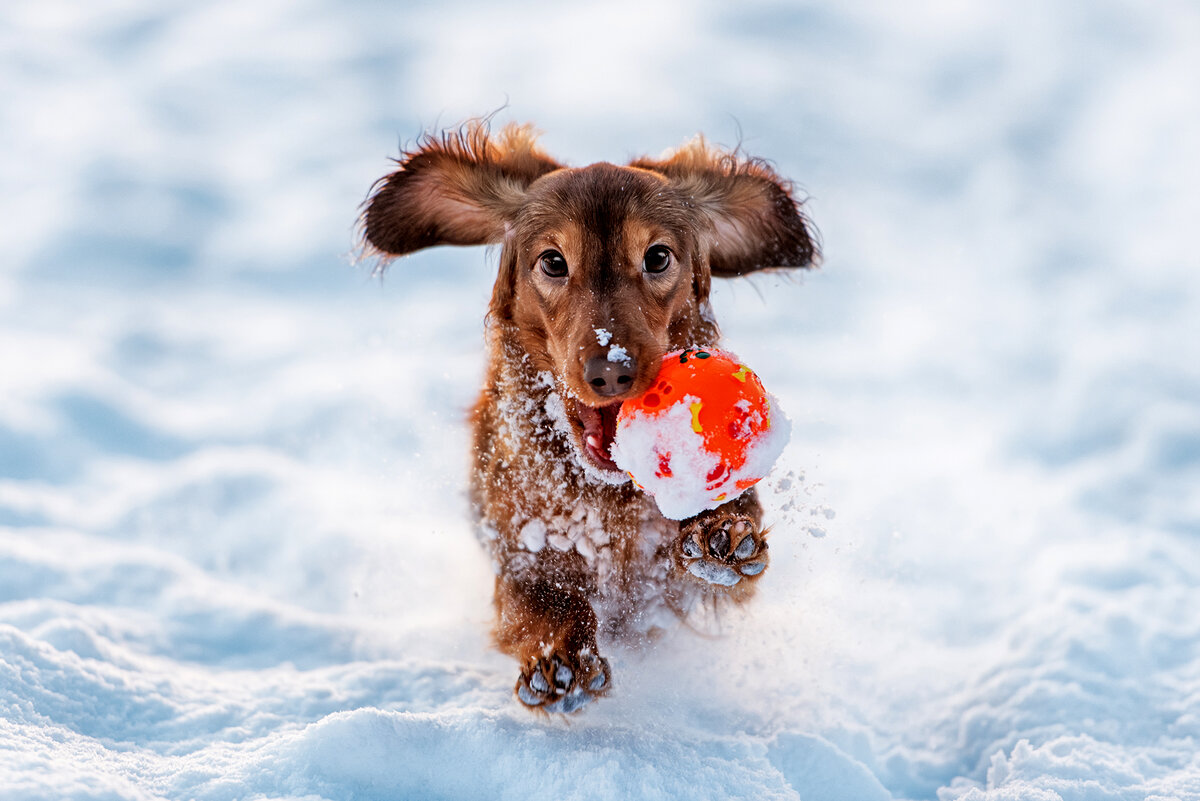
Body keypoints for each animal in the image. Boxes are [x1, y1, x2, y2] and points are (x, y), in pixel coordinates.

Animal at [360, 120, 820, 714]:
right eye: (554, 262)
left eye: (657, 257)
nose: (611, 371)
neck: (606, 497)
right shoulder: (518, 546)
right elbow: (541, 597)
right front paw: (561, 659)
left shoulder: (683, 586)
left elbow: (726, 551)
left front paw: (720, 531)